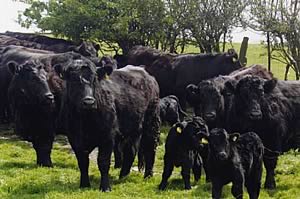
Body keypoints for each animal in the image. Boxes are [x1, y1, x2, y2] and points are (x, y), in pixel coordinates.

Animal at [55, 62, 161, 191]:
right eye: (73, 80)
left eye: (95, 80)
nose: (89, 102)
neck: (85, 119)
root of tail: (146, 73)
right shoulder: (74, 138)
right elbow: (82, 162)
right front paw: (84, 184)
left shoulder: (107, 136)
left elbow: (103, 162)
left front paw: (105, 187)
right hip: (133, 128)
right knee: (130, 151)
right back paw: (123, 176)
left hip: (151, 121)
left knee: (150, 147)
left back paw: (148, 175)